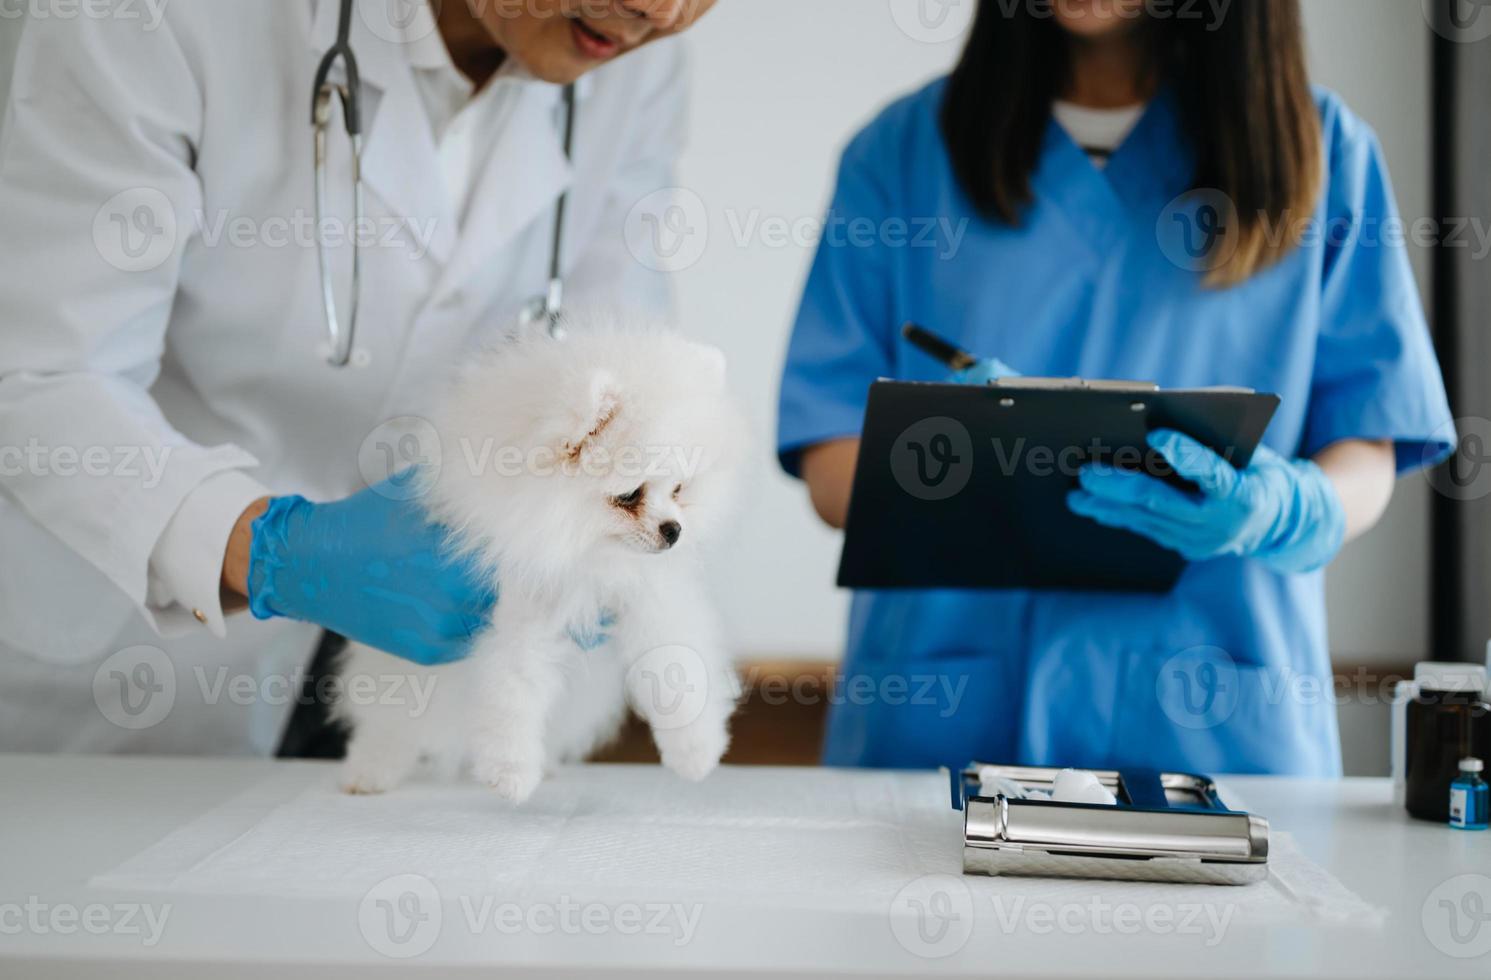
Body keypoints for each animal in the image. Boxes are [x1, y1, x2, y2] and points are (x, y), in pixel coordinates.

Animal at [342, 313, 751, 805]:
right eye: (629, 495)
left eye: (679, 489)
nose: (674, 531)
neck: (585, 552)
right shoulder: (519, 611)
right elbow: (511, 689)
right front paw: (512, 772)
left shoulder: (649, 596)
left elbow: (678, 665)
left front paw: (695, 752)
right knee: (392, 723)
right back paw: (370, 770)